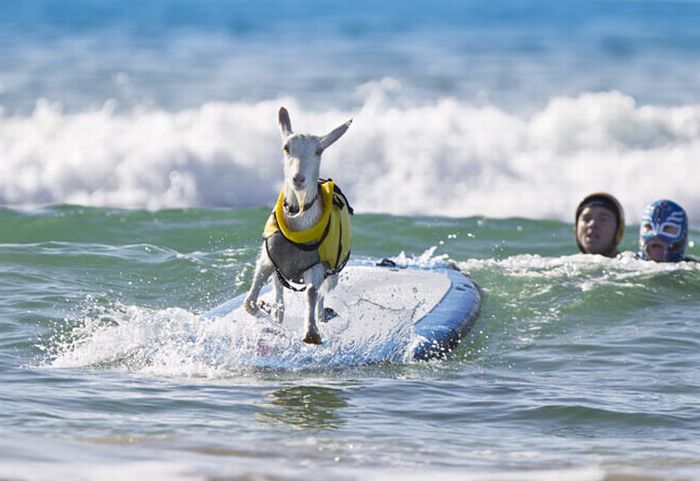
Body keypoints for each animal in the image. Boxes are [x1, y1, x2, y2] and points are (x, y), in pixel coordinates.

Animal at [246, 107, 356, 344]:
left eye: (319, 151)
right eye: (286, 148)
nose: (298, 179)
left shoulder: (317, 266)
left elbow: (312, 292)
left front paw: (311, 332)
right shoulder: (269, 259)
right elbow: (249, 302)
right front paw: (267, 315)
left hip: (333, 273)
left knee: (321, 295)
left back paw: (322, 317)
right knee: (279, 290)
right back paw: (276, 313)